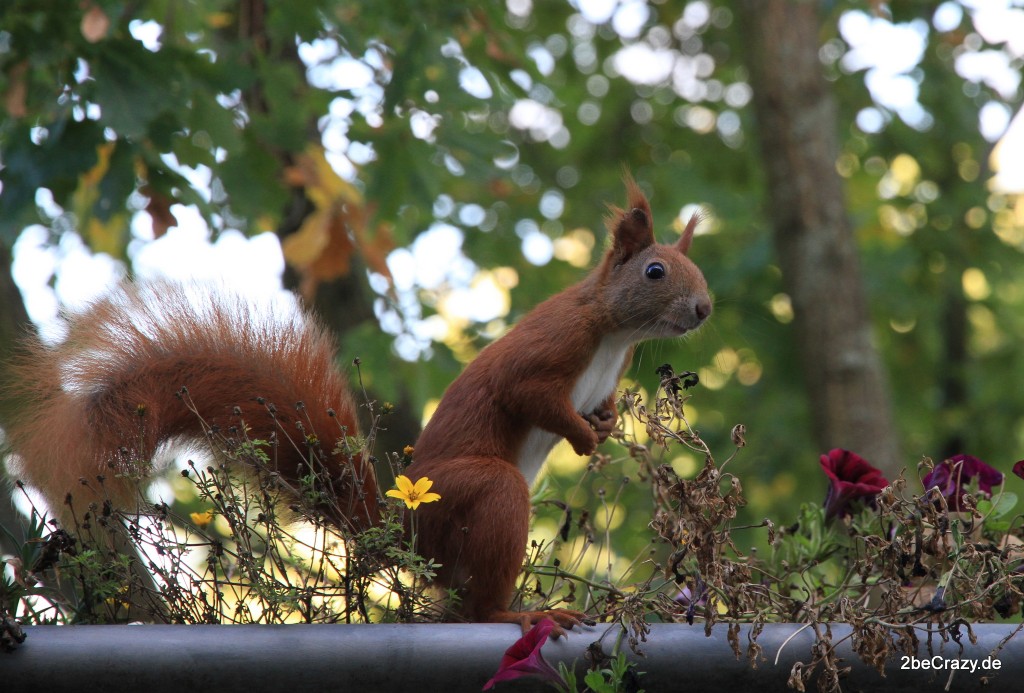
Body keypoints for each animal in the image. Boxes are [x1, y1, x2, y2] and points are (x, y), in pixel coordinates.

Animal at [2, 174, 712, 630]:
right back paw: (519, 611)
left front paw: (604, 422)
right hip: (479, 493)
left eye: (695, 273)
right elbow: (528, 393)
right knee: (479, 595)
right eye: (655, 272)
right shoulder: (554, 344)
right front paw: (582, 435)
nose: (704, 308)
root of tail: (398, 531)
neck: (616, 335)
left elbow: (598, 406)